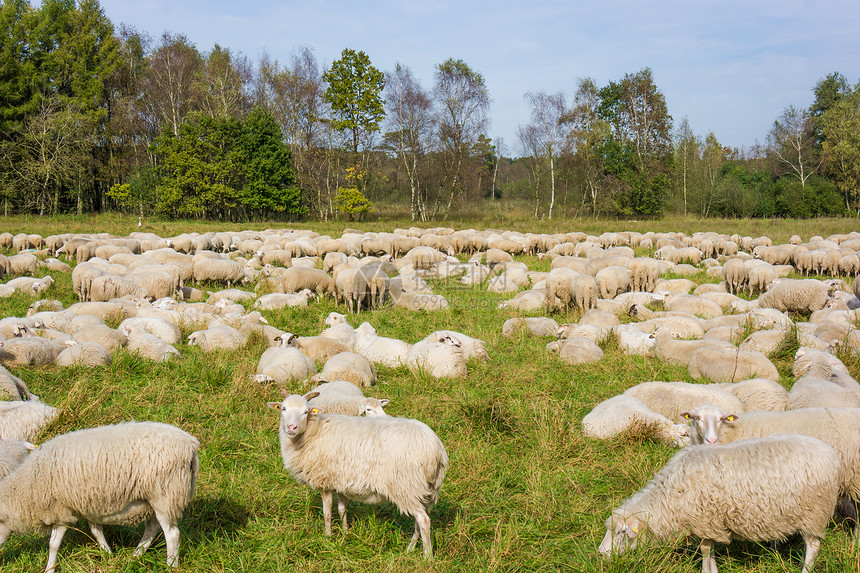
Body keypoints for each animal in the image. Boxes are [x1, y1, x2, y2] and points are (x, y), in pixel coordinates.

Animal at [0, 418, 198, 568]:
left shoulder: (60, 510)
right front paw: (107, 553)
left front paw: (50, 568)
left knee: (172, 534)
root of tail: (191, 444)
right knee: (152, 528)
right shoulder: (88, 504)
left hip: (164, 494)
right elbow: (96, 531)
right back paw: (135, 556)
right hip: (153, 500)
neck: (28, 484)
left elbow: (53, 544)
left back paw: (171, 565)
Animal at [266, 392, 446, 556]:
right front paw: (346, 534)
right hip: (424, 490)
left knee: (423, 521)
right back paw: (410, 549)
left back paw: (427, 557)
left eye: (306, 411)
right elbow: (342, 509)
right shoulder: (341, 481)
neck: (314, 431)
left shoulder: (324, 481)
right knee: (419, 520)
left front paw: (327, 538)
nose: (291, 427)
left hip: (405, 486)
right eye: (283, 408)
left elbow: (327, 513)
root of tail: (433, 449)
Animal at [596, 434, 840, 572]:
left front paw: (707, 570)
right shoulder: (708, 522)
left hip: (813, 512)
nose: (600, 555)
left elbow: (705, 549)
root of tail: (832, 456)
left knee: (813, 547)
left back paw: (805, 569)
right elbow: (709, 548)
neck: (671, 496)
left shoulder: (705, 519)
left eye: (621, 533)